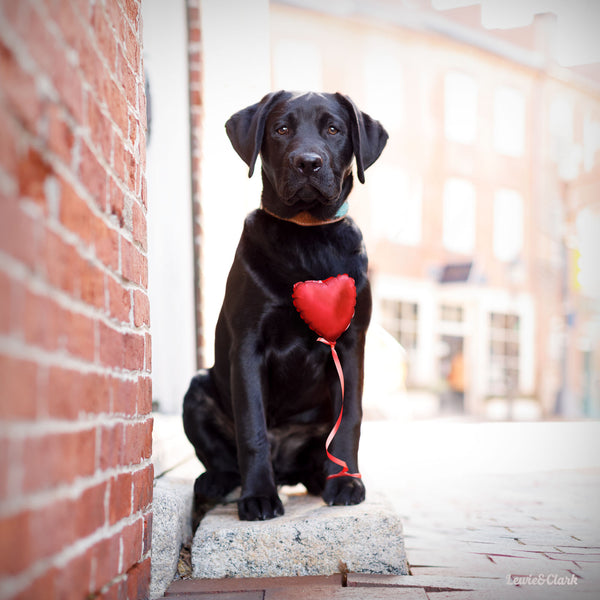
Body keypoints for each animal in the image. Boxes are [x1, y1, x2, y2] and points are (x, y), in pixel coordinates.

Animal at [184, 90, 390, 520]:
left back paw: (320, 479)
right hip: (197, 389)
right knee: (221, 459)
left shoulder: (350, 344)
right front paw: (258, 497)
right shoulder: (248, 344)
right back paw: (218, 482)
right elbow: (252, 429)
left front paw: (346, 483)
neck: (306, 236)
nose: (307, 162)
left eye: (334, 129)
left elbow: (351, 421)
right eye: (281, 129)